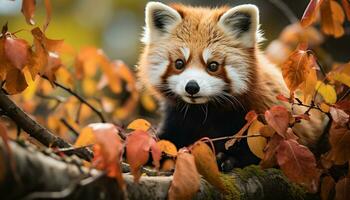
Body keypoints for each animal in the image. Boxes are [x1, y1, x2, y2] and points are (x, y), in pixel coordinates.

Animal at [137, 2, 326, 170]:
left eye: (213, 65)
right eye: (179, 63)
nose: (192, 87)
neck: (204, 112)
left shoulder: (262, 118)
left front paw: (227, 158)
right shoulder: (177, 116)